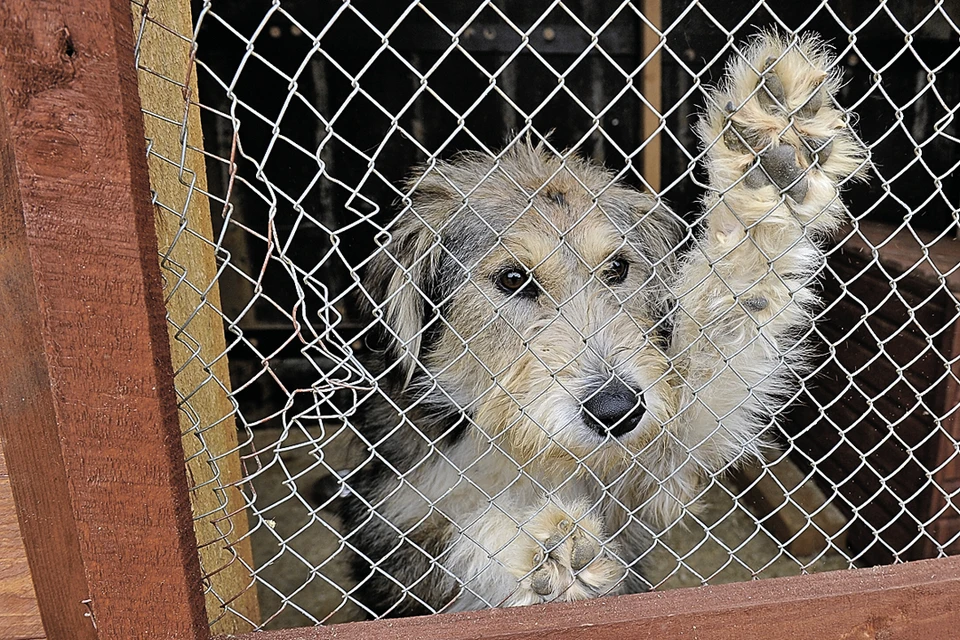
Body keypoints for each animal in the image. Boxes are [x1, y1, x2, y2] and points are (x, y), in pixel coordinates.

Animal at [340, 32, 872, 616]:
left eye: (617, 269)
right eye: (512, 279)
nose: (618, 412)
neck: (518, 445)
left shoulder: (652, 466)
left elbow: (726, 322)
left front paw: (772, 160)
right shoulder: (398, 537)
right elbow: (456, 541)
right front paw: (540, 544)